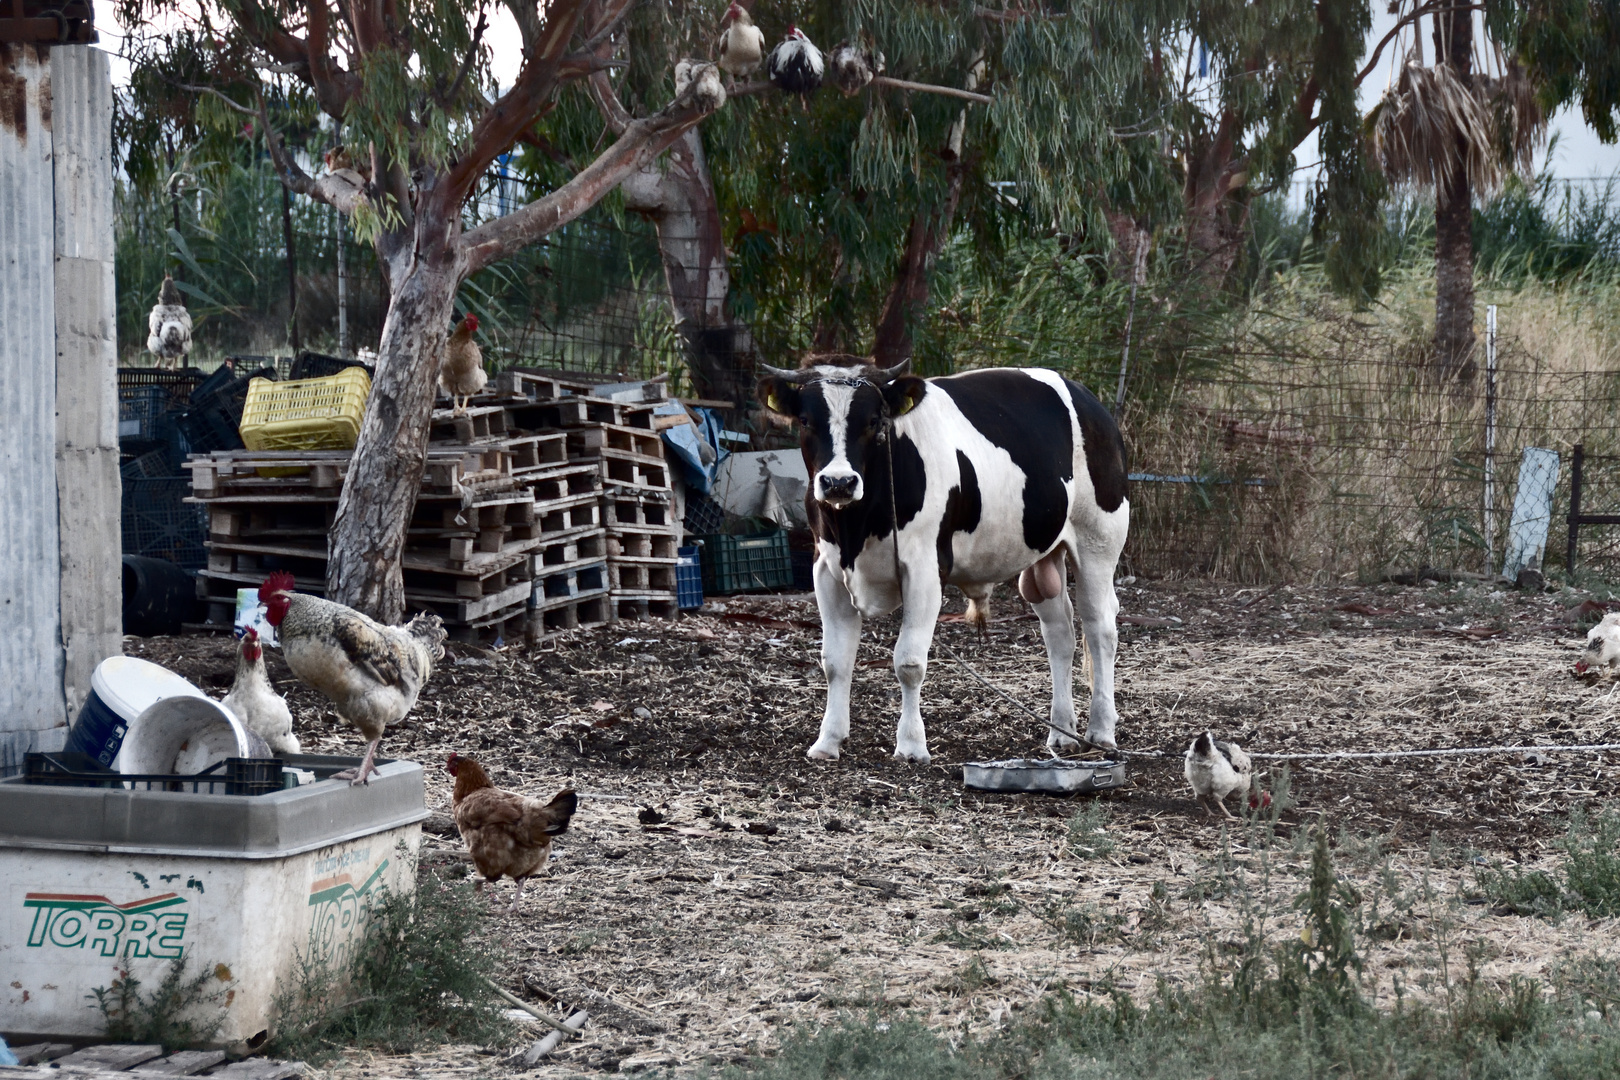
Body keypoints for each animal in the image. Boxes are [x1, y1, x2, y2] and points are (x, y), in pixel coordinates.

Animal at [754, 359, 1127, 764]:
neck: (857, 527)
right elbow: (835, 661)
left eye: (873, 420)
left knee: (1100, 626)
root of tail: (1087, 398)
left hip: (1098, 540)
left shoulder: (925, 569)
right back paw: (1062, 733)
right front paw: (828, 741)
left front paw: (911, 745)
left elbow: (909, 661)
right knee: (1060, 632)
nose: (839, 482)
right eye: (806, 420)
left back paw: (1101, 730)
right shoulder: (826, 570)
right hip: (1043, 554)